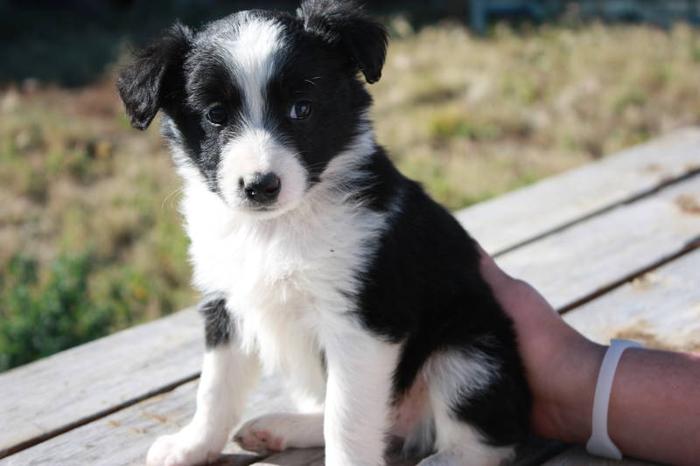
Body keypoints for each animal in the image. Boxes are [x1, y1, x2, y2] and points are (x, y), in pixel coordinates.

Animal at [117, 1, 532, 464]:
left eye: (302, 109)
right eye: (215, 115)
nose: (261, 186)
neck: (274, 229)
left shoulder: (360, 324)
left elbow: (346, 416)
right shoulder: (226, 305)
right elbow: (215, 388)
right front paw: (193, 445)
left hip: (469, 351)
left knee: (486, 440)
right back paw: (281, 428)